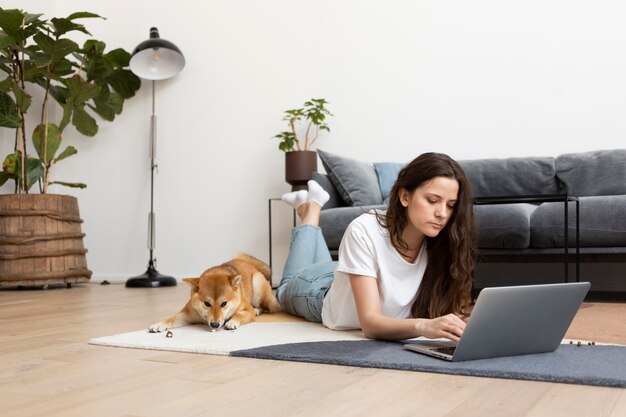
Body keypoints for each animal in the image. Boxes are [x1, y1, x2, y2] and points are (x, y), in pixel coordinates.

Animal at [147, 254, 280, 332]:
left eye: (224, 303)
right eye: (207, 303)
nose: (215, 325)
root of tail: (248, 262)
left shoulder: (247, 310)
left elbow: (239, 315)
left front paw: (232, 322)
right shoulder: (186, 314)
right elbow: (171, 319)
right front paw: (159, 325)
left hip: (258, 285)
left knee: (265, 307)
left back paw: (257, 309)